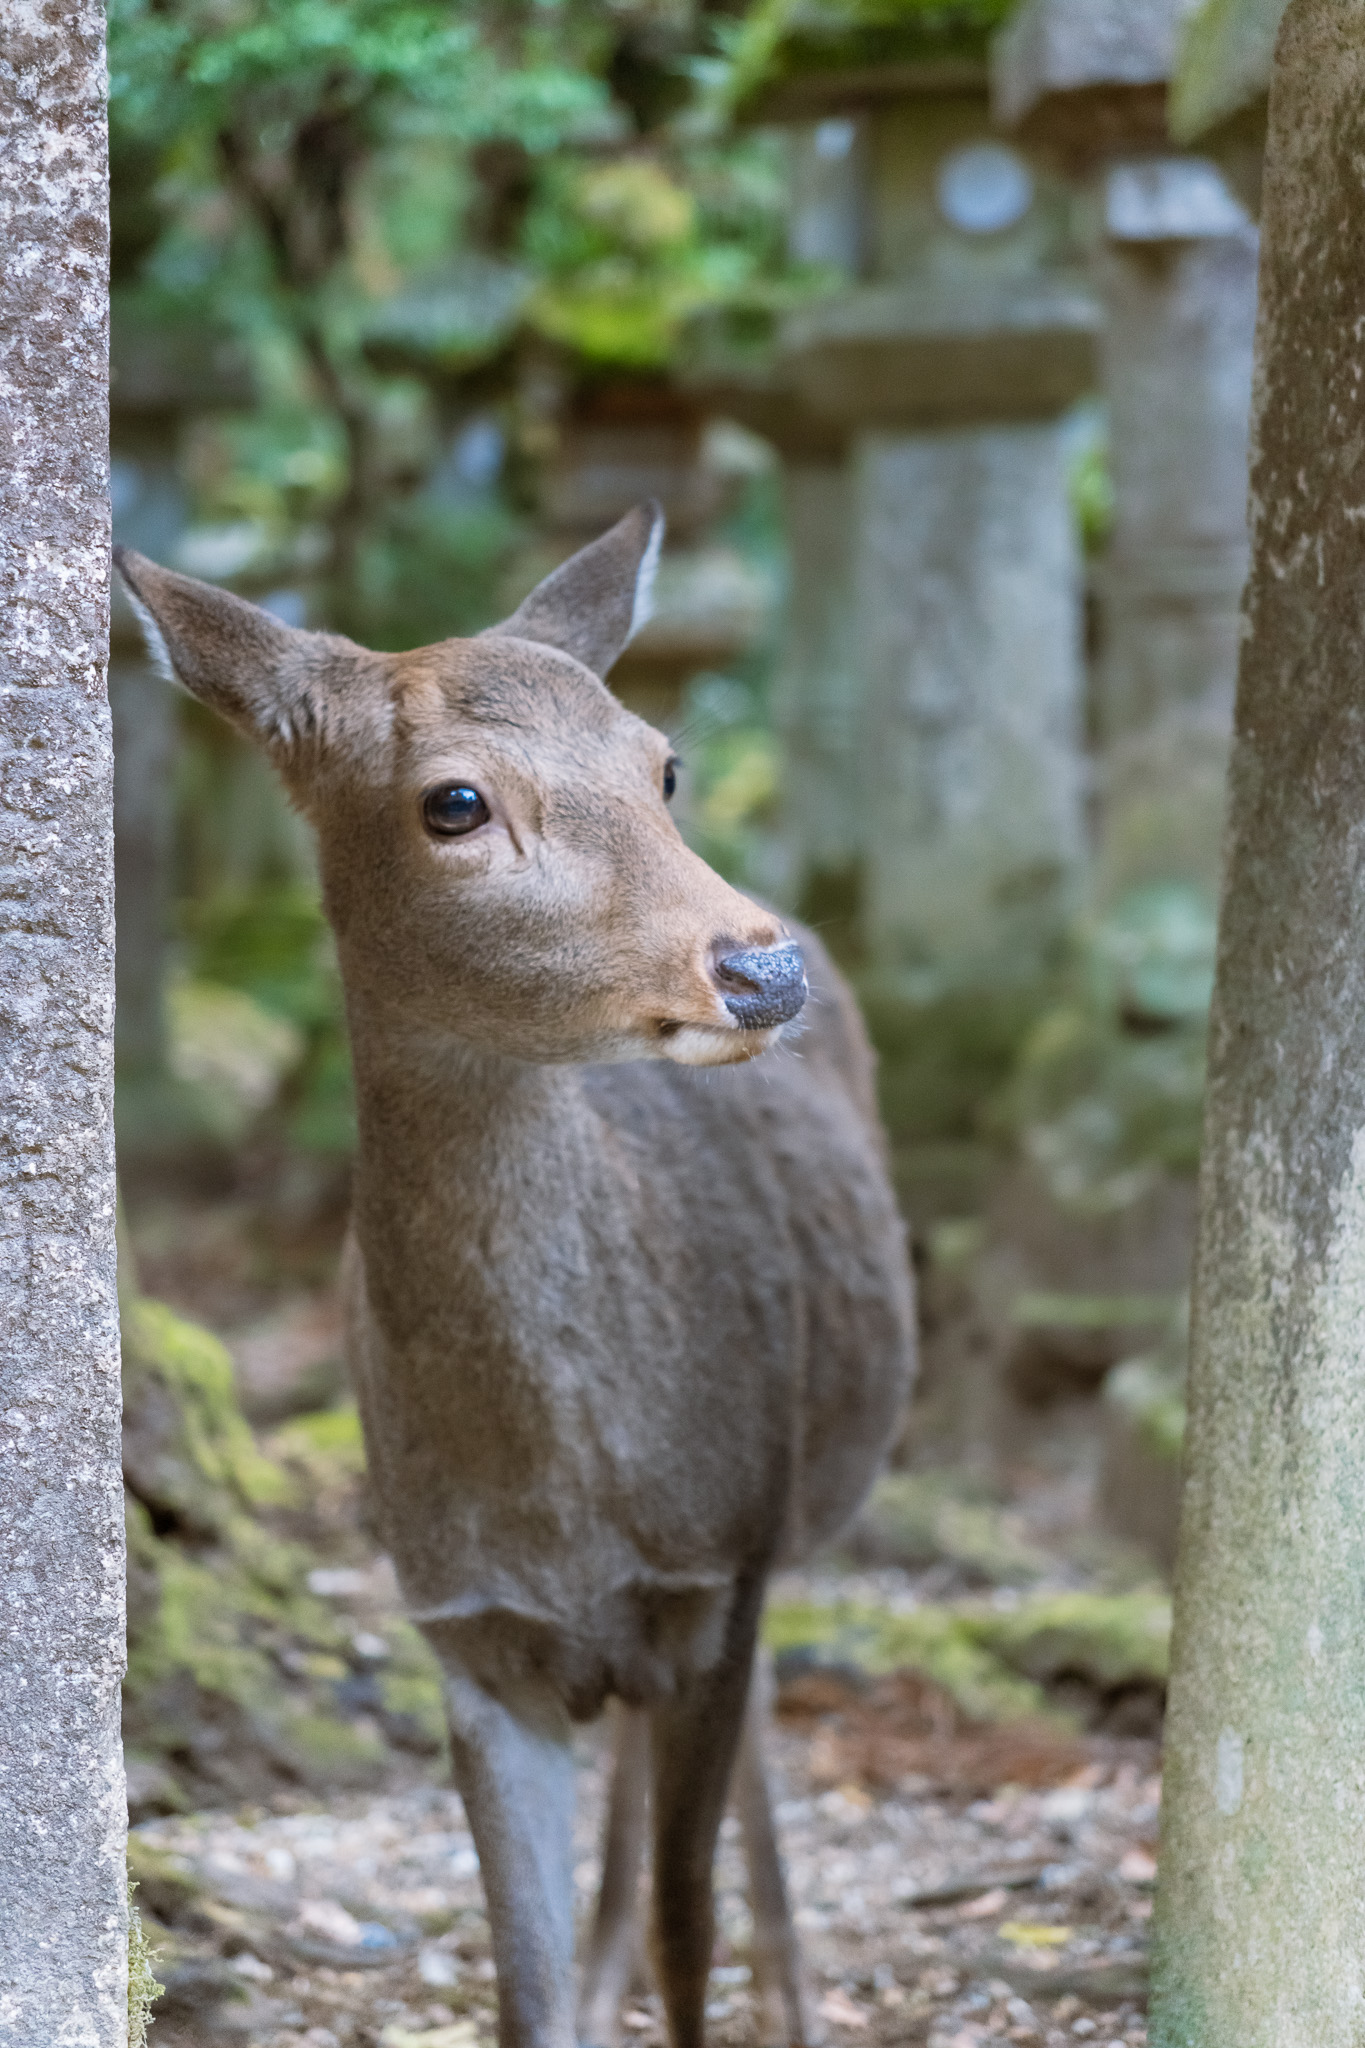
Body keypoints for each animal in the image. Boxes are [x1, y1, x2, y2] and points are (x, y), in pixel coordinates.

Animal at [115, 503, 915, 2048]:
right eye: (454, 804)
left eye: (663, 763)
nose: (761, 969)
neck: (567, 1498)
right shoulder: (464, 1629)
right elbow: (523, 1989)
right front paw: (576, 1988)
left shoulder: (719, 1558)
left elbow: (686, 1927)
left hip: (785, 1522)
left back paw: (796, 1994)